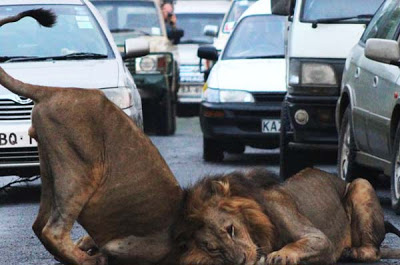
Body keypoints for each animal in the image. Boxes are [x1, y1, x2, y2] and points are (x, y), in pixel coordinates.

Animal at [178, 169, 400, 264]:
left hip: (361, 183)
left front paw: (280, 255)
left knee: (373, 251)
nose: (242, 261)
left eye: (230, 229)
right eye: (213, 248)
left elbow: (301, 243)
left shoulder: (320, 240)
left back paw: (351, 253)